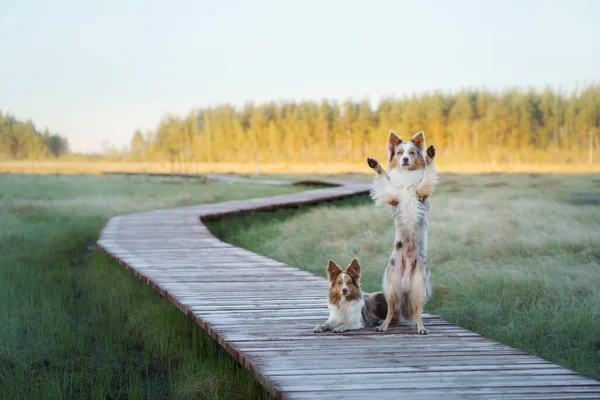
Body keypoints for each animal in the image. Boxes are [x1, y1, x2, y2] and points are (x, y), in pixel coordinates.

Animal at [364, 130, 438, 332]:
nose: (405, 159)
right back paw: (384, 325)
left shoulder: (421, 193)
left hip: (420, 289)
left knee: (418, 312)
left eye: (411, 153)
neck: (406, 178)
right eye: (399, 153)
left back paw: (421, 328)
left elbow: (427, 174)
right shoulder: (393, 196)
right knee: (390, 311)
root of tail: (406, 282)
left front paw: (429, 156)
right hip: (390, 288)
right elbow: (384, 179)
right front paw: (376, 165)